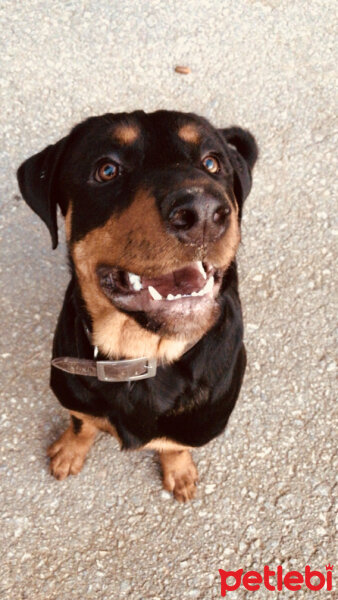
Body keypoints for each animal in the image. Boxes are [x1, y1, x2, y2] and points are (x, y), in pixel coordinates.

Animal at [17, 111, 258, 502]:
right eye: (107, 170)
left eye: (211, 163)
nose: (203, 212)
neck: (140, 354)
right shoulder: (74, 393)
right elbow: (81, 422)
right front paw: (69, 450)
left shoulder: (198, 422)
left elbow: (175, 445)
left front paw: (179, 471)